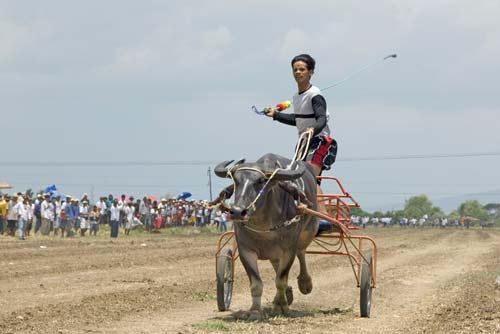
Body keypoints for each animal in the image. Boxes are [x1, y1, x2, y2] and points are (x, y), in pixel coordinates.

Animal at [214, 153, 316, 320]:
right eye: (236, 180)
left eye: (261, 181)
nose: (237, 212)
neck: (263, 226)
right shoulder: (245, 250)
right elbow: (256, 283)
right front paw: (255, 311)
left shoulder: (289, 250)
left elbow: (280, 279)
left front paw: (281, 307)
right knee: (276, 263)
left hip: (308, 232)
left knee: (301, 253)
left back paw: (305, 283)